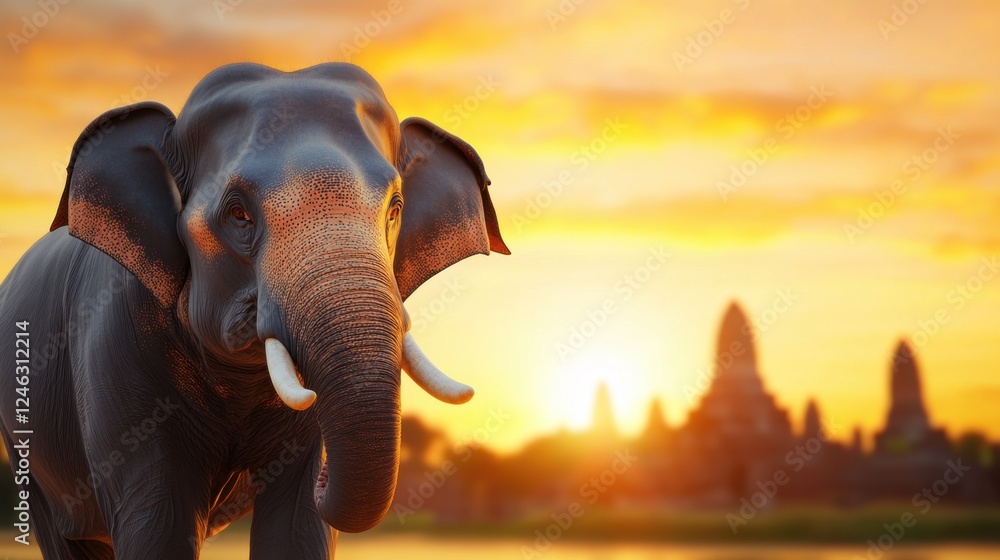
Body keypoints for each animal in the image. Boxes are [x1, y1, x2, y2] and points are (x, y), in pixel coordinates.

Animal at [0, 62, 509, 559]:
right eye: (238, 214)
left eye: (394, 210)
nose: (325, 477)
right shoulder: (113, 341)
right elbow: (157, 522)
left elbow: (296, 527)